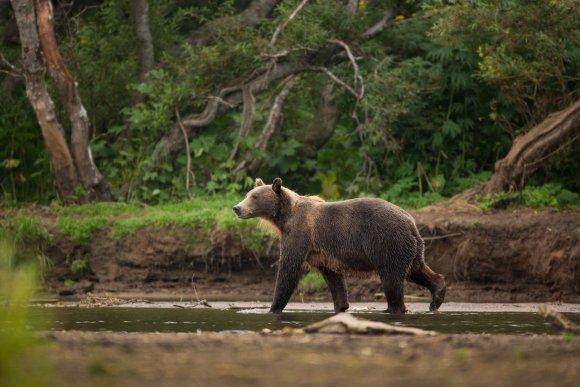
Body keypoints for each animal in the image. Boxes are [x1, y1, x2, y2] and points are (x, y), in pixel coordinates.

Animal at [233, 177, 446, 314]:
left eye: (254, 197)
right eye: (248, 194)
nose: (237, 208)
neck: (283, 218)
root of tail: (410, 221)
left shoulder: (299, 234)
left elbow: (288, 269)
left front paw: (272, 307)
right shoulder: (322, 253)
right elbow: (334, 279)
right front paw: (341, 306)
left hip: (387, 241)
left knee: (392, 278)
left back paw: (392, 308)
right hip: (411, 246)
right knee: (416, 270)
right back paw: (436, 296)